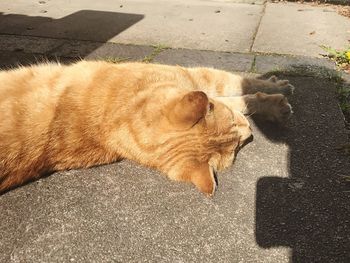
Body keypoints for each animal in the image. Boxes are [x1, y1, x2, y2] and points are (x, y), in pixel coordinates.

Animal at [0, 61, 294, 196]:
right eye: (237, 143)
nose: (250, 131)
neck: (118, 117)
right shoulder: (197, 77)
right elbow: (239, 89)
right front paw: (274, 97)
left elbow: (239, 88)